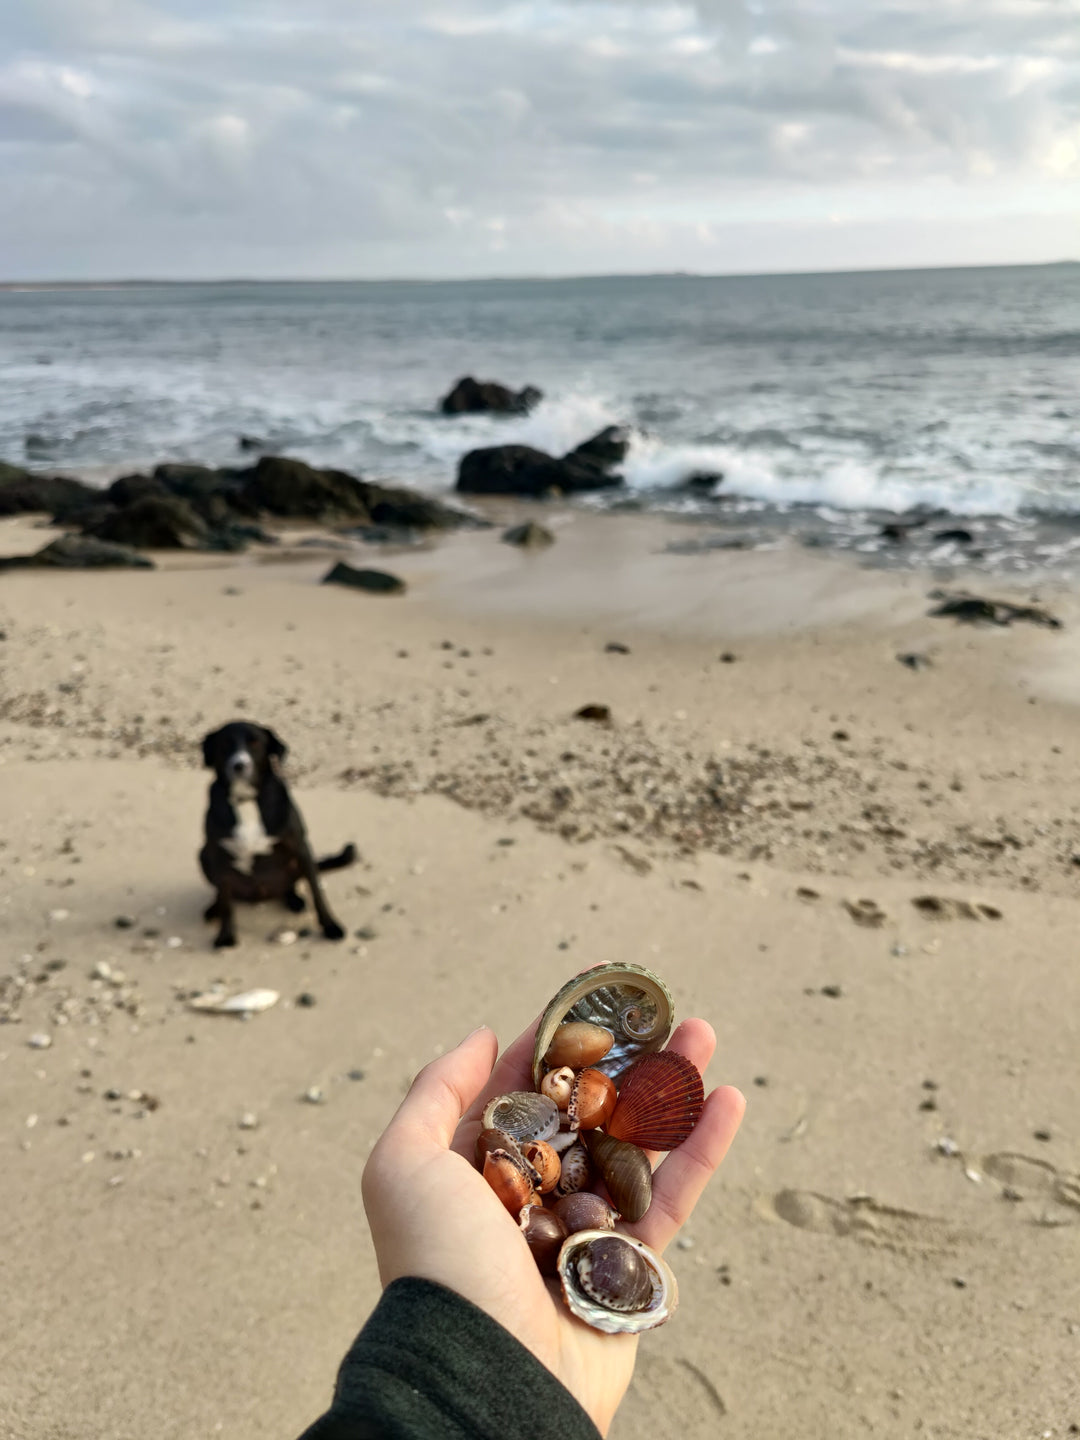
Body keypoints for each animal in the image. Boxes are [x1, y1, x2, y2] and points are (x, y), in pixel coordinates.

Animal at [198, 720, 360, 944]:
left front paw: (331, 926)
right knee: (224, 895)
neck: (246, 799)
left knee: (292, 884)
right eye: (225, 744)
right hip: (203, 855)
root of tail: (260, 894)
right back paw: (214, 908)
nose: (239, 765)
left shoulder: (300, 847)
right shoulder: (218, 855)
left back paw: (294, 899)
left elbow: (318, 894)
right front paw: (225, 936)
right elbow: (226, 903)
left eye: (255, 742)